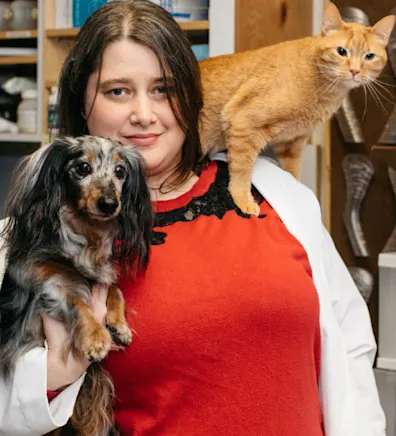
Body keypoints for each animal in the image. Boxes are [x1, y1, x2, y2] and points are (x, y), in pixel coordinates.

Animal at [200, 1, 394, 215]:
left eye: (369, 56)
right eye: (342, 51)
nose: (354, 71)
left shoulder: (291, 142)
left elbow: (292, 174)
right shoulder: (244, 123)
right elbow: (241, 171)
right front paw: (243, 200)